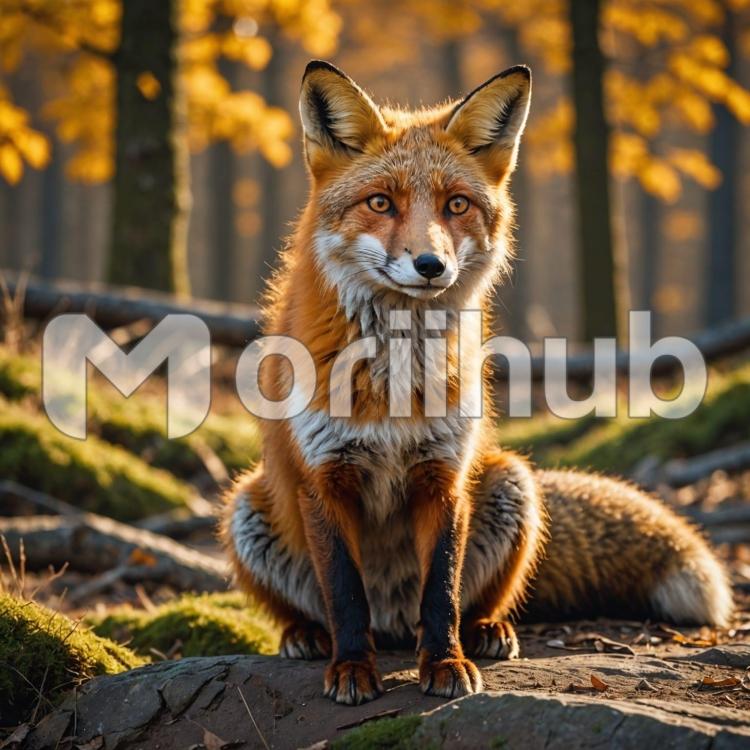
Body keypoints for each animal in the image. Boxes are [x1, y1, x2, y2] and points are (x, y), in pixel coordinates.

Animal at [221, 60, 733, 706]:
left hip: (511, 481)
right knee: (322, 610)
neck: (395, 376)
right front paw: (352, 668)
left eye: (456, 204)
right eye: (380, 202)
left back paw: (486, 631)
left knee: (466, 603)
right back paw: (308, 636)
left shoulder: (444, 476)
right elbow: (345, 593)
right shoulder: (324, 478)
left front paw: (445, 664)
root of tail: (394, 622)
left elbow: (441, 591)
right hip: (247, 504)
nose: (430, 265)